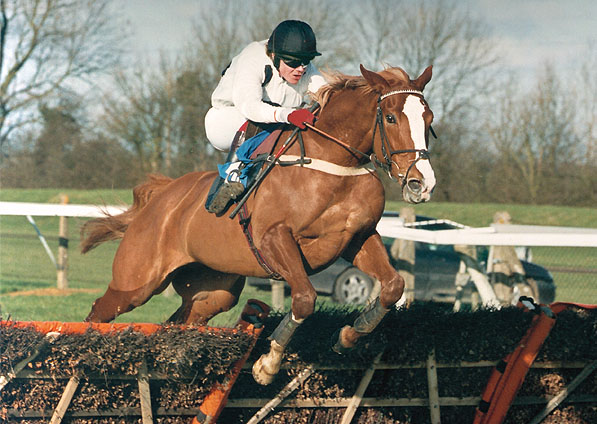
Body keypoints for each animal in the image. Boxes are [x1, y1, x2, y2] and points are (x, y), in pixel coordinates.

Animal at [80, 63, 434, 384]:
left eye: (429, 119)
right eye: (390, 118)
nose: (421, 184)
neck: (335, 164)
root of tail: (162, 196)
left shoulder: (358, 237)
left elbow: (393, 286)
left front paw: (348, 335)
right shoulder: (275, 239)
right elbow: (304, 299)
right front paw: (268, 364)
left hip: (213, 292)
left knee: (181, 320)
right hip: (137, 282)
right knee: (100, 310)